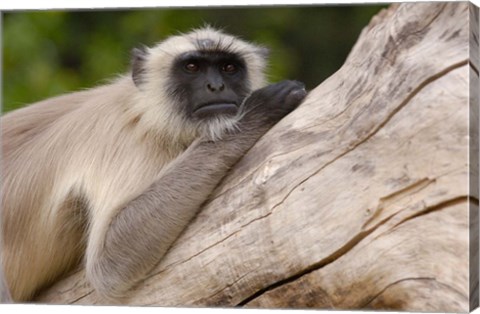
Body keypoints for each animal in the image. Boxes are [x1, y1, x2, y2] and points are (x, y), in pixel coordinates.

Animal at [0, 27, 306, 302]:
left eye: (229, 67)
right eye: (192, 67)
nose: (216, 86)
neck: (145, 111)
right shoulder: (126, 140)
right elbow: (108, 264)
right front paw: (256, 112)